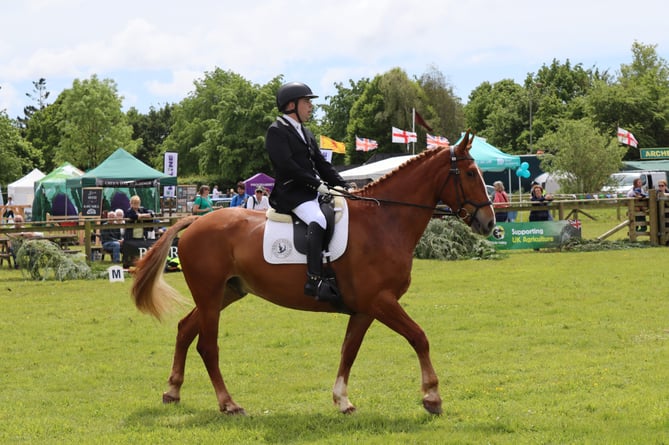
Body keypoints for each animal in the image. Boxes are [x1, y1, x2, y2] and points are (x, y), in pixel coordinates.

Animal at [132, 130, 496, 414]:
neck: (384, 221)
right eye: (469, 174)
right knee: (207, 346)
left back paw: (172, 391)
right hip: (210, 296)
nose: (489, 222)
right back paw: (228, 403)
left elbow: (349, 350)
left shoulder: (365, 309)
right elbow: (419, 337)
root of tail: (196, 221)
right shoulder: (381, 301)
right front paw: (432, 396)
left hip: (226, 293)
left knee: (184, 329)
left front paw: (342, 400)